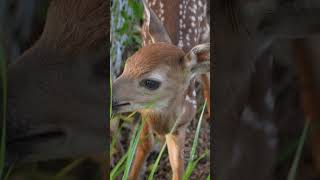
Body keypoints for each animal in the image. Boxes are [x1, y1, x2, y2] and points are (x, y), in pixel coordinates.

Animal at [112, 0, 210, 180]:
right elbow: (144, 144)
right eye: (127, 65)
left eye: (151, 82)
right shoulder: (145, 112)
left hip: (205, 28)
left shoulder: (180, 126)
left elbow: (178, 166)